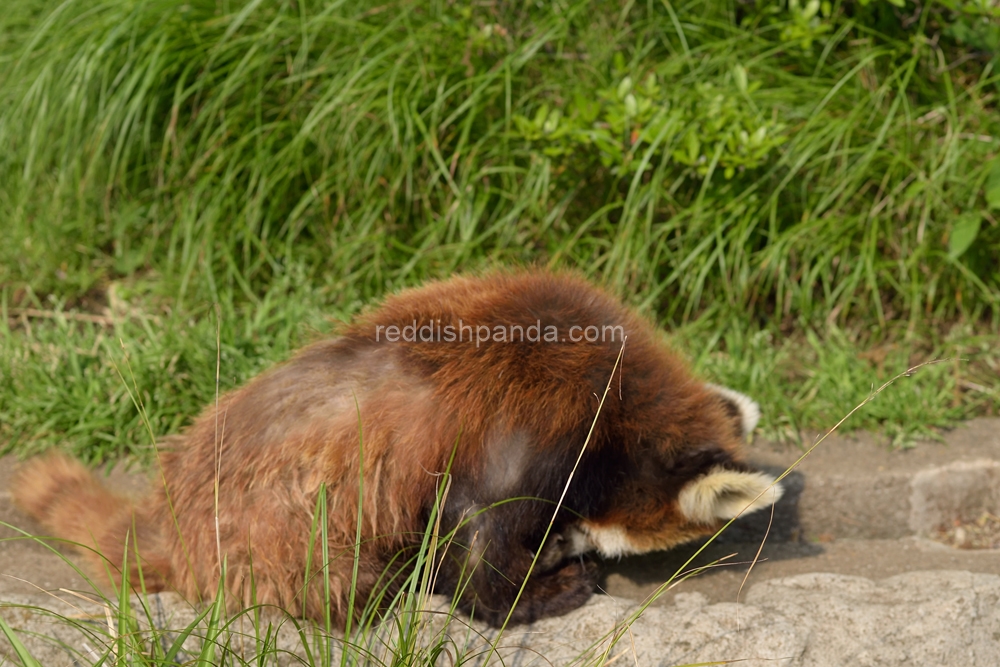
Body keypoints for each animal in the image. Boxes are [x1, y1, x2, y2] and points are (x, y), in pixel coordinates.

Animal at [11, 268, 784, 628]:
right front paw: (545, 587)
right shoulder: (534, 414)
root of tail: (175, 517)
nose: (567, 546)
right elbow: (477, 542)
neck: (622, 408)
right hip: (284, 534)